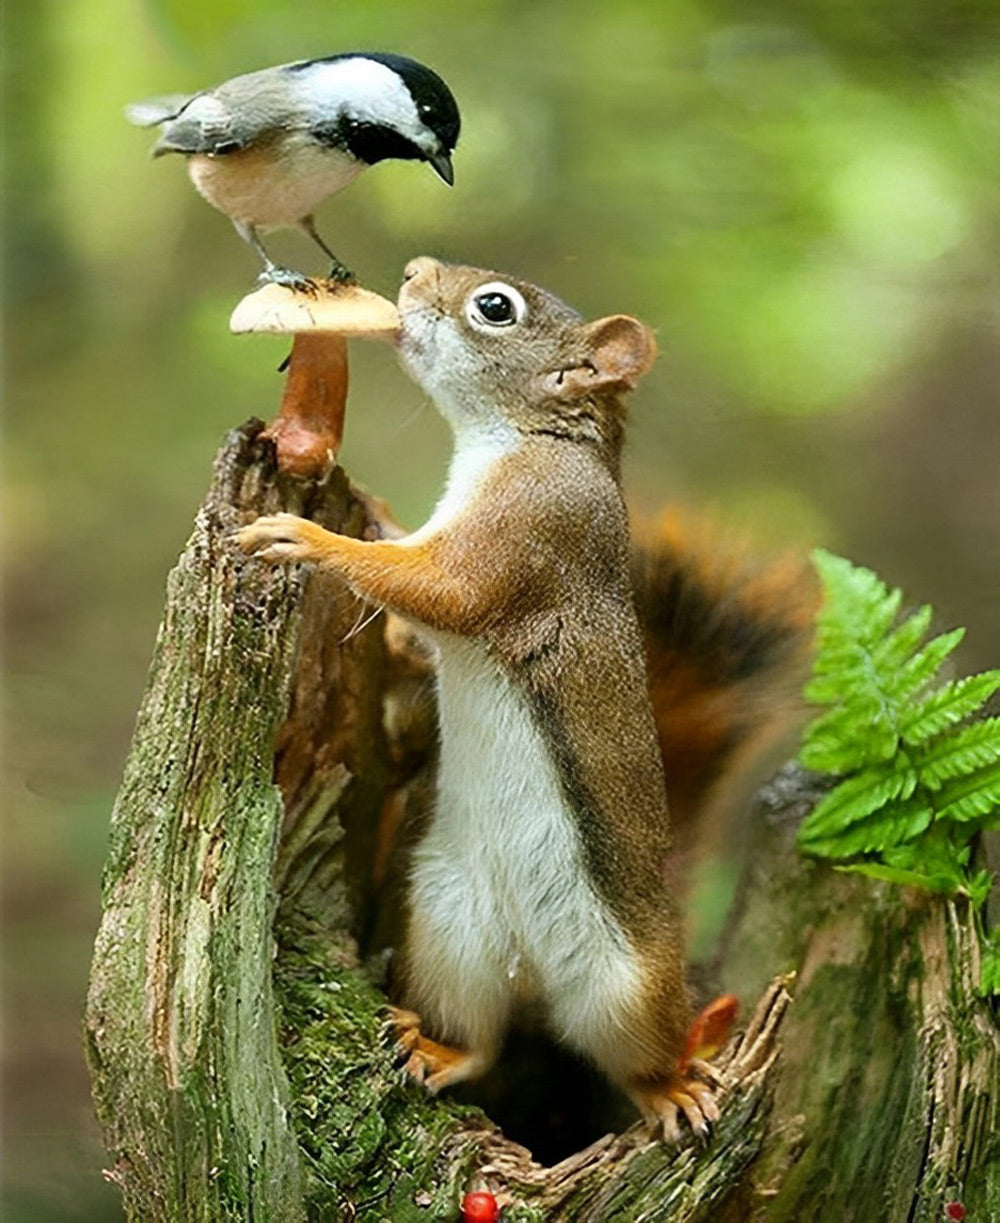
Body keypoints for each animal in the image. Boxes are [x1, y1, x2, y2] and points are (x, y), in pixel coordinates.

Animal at [237, 256, 816, 1139]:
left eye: (495, 308)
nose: (412, 272)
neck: (526, 438)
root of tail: (534, 977)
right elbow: (414, 600)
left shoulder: (528, 534)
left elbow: (440, 592)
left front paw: (309, 538)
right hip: (447, 932)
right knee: (482, 1041)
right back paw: (437, 1048)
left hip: (629, 985)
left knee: (636, 1058)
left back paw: (673, 1088)